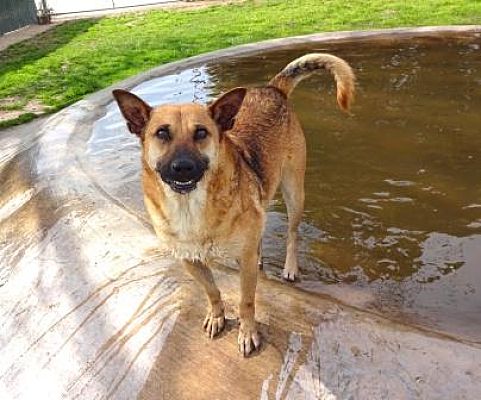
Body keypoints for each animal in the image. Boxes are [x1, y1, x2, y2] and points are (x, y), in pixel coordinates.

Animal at [111, 53, 352, 356]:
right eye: (162, 133)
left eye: (201, 133)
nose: (182, 168)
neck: (190, 207)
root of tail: (271, 89)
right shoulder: (190, 261)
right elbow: (212, 291)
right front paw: (217, 316)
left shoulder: (243, 264)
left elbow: (246, 302)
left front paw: (247, 333)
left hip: (294, 192)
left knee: (292, 234)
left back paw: (290, 267)